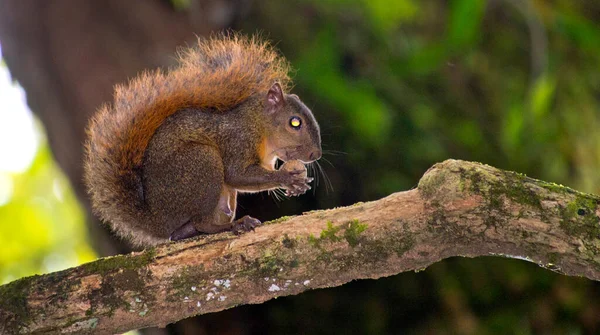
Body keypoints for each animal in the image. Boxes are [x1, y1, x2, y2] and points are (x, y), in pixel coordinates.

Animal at [85, 34, 322, 248]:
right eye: (295, 122)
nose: (316, 155)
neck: (260, 127)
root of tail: (157, 218)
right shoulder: (237, 139)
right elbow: (236, 174)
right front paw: (287, 178)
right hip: (202, 163)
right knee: (202, 222)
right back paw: (235, 225)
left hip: (222, 197)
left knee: (182, 232)